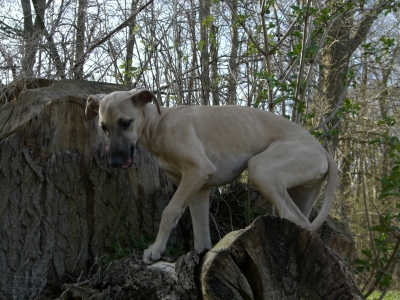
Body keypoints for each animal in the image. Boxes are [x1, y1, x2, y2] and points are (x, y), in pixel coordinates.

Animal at [85, 88, 338, 264]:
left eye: (126, 123)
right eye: (103, 127)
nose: (114, 163)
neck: (158, 124)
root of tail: (322, 149)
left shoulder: (197, 171)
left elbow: (170, 212)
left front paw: (156, 250)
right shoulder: (199, 189)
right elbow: (201, 235)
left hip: (261, 168)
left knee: (296, 218)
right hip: (302, 192)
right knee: (303, 222)